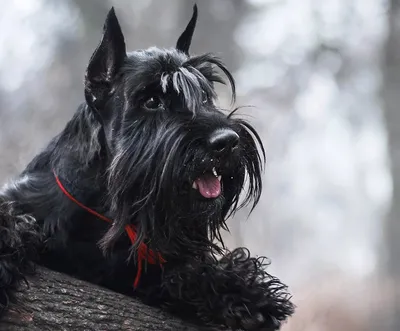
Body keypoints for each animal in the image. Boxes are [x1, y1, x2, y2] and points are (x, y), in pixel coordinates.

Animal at [0, 5, 294, 331]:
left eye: (205, 96)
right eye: (152, 101)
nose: (227, 142)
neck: (110, 212)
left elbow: (187, 272)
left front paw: (246, 292)